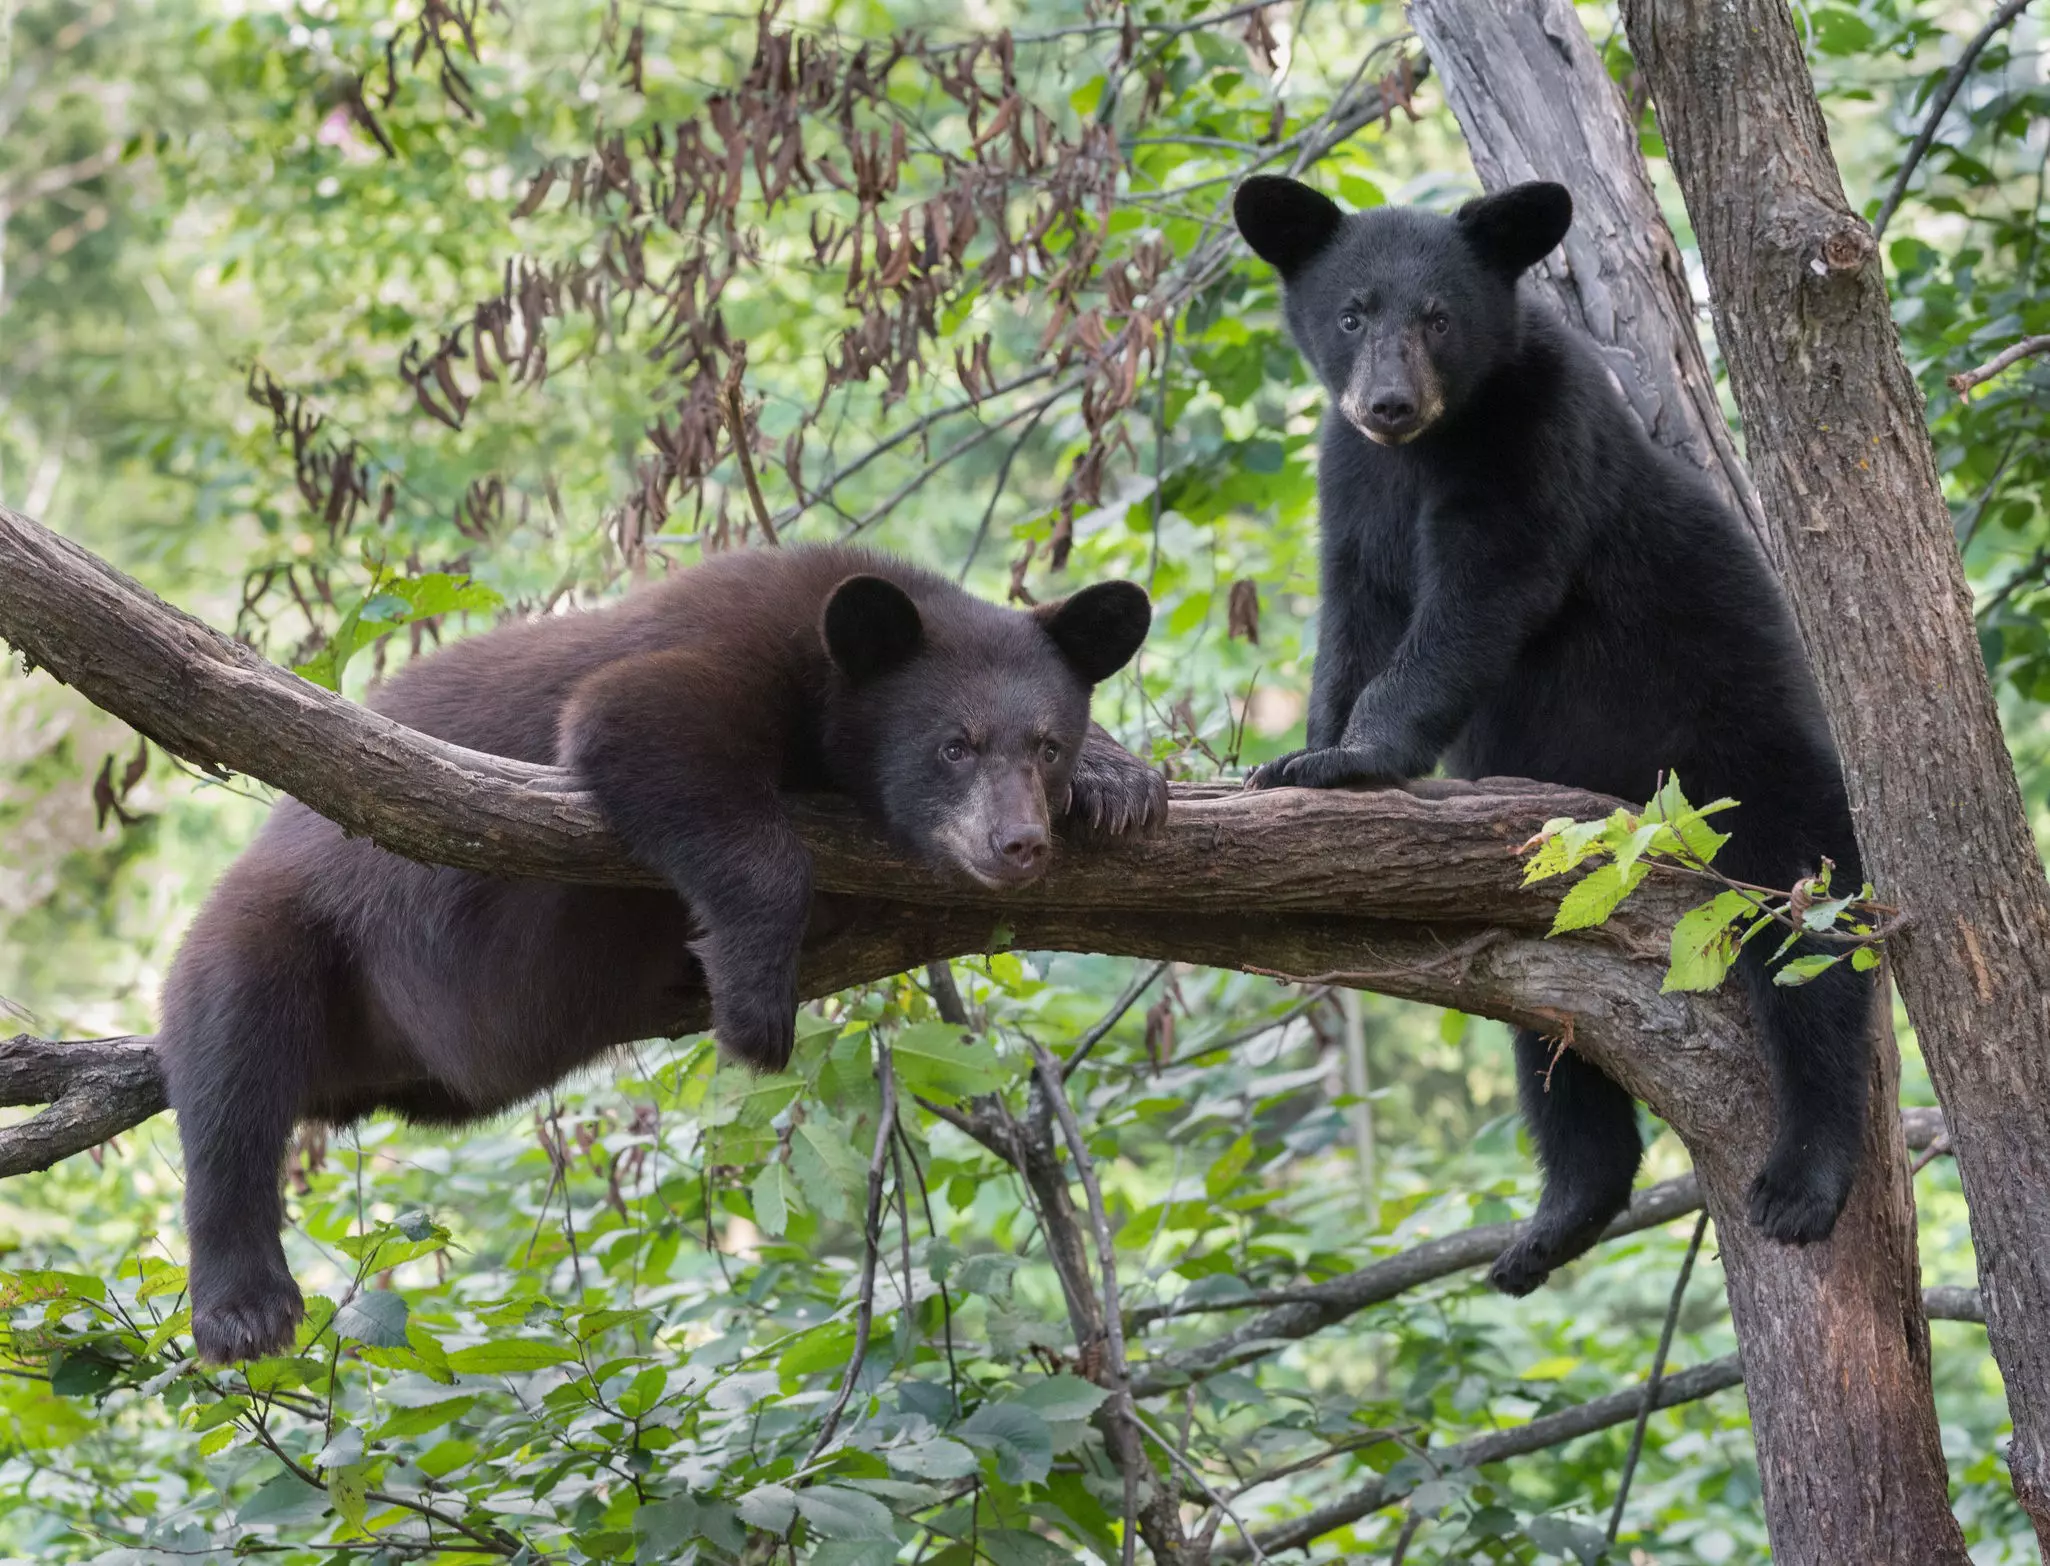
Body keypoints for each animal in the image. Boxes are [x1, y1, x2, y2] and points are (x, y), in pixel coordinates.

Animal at [157, 543, 1168, 1363]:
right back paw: (245, 1304)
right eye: (955, 746)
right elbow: (635, 723)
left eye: (1047, 745)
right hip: (285, 925)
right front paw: (756, 1001)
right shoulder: (719, 648)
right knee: (230, 1069)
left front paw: (1122, 782)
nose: (1018, 844)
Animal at [1232, 176, 1875, 1294]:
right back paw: (1559, 1217)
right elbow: (1354, 617)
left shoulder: (1536, 441)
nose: (1388, 405)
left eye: (1438, 317)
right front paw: (1307, 750)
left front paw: (1352, 757)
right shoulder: (1352, 486)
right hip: (1563, 867)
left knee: (1809, 956)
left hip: (1753, 775)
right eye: (1351, 314)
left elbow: (1479, 593)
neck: (1432, 446)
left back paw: (1803, 1177)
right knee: (1551, 1031)